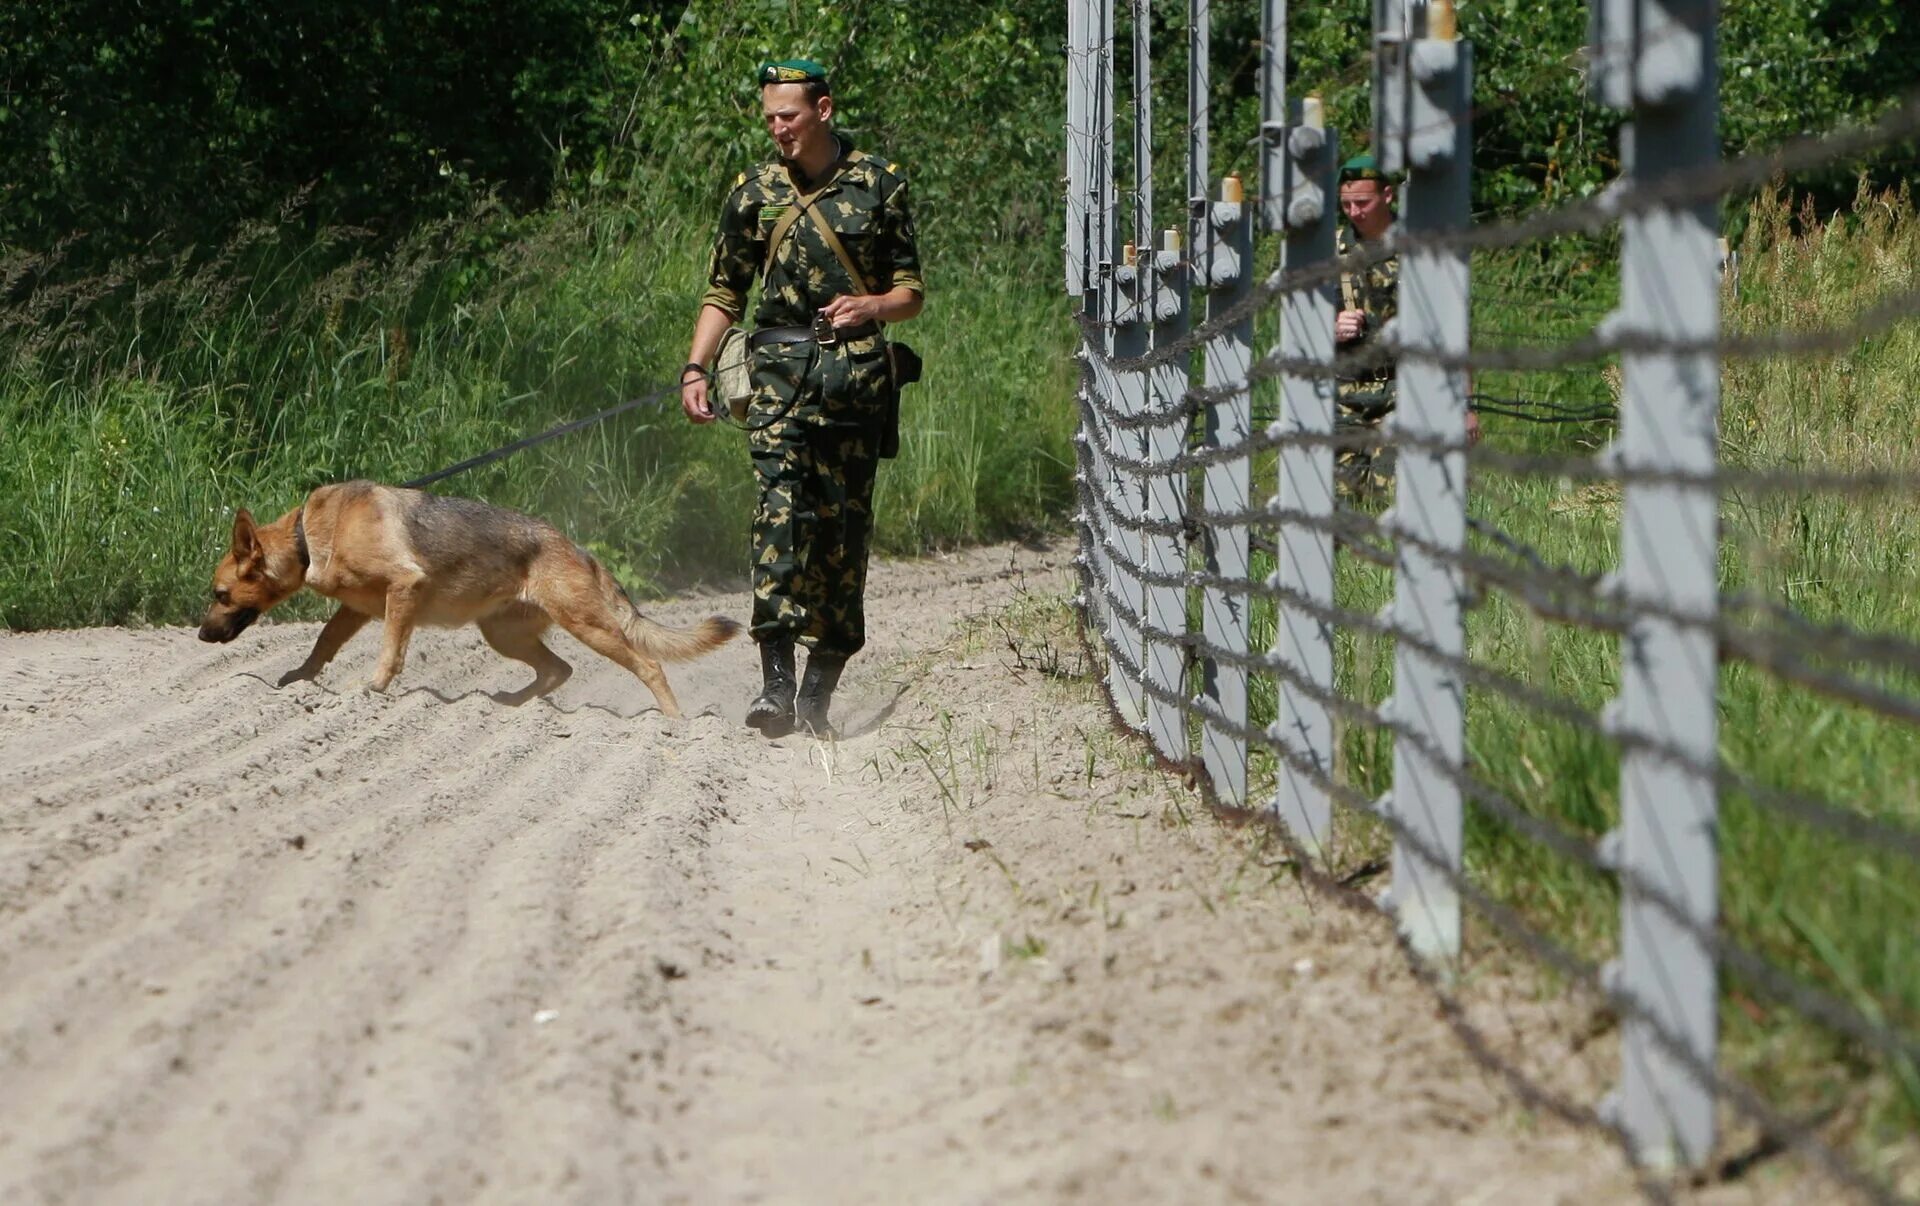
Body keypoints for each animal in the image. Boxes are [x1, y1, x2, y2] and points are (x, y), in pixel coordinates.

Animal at [194, 480, 733, 714]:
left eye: (220, 593)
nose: (200, 635)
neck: (309, 536)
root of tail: (577, 548)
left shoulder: (403, 590)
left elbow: (391, 651)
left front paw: (373, 689)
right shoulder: (355, 610)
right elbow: (323, 642)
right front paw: (299, 681)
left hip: (588, 626)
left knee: (649, 666)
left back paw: (674, 725)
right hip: (502, 635)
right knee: (558, 670)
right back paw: (510, 705)